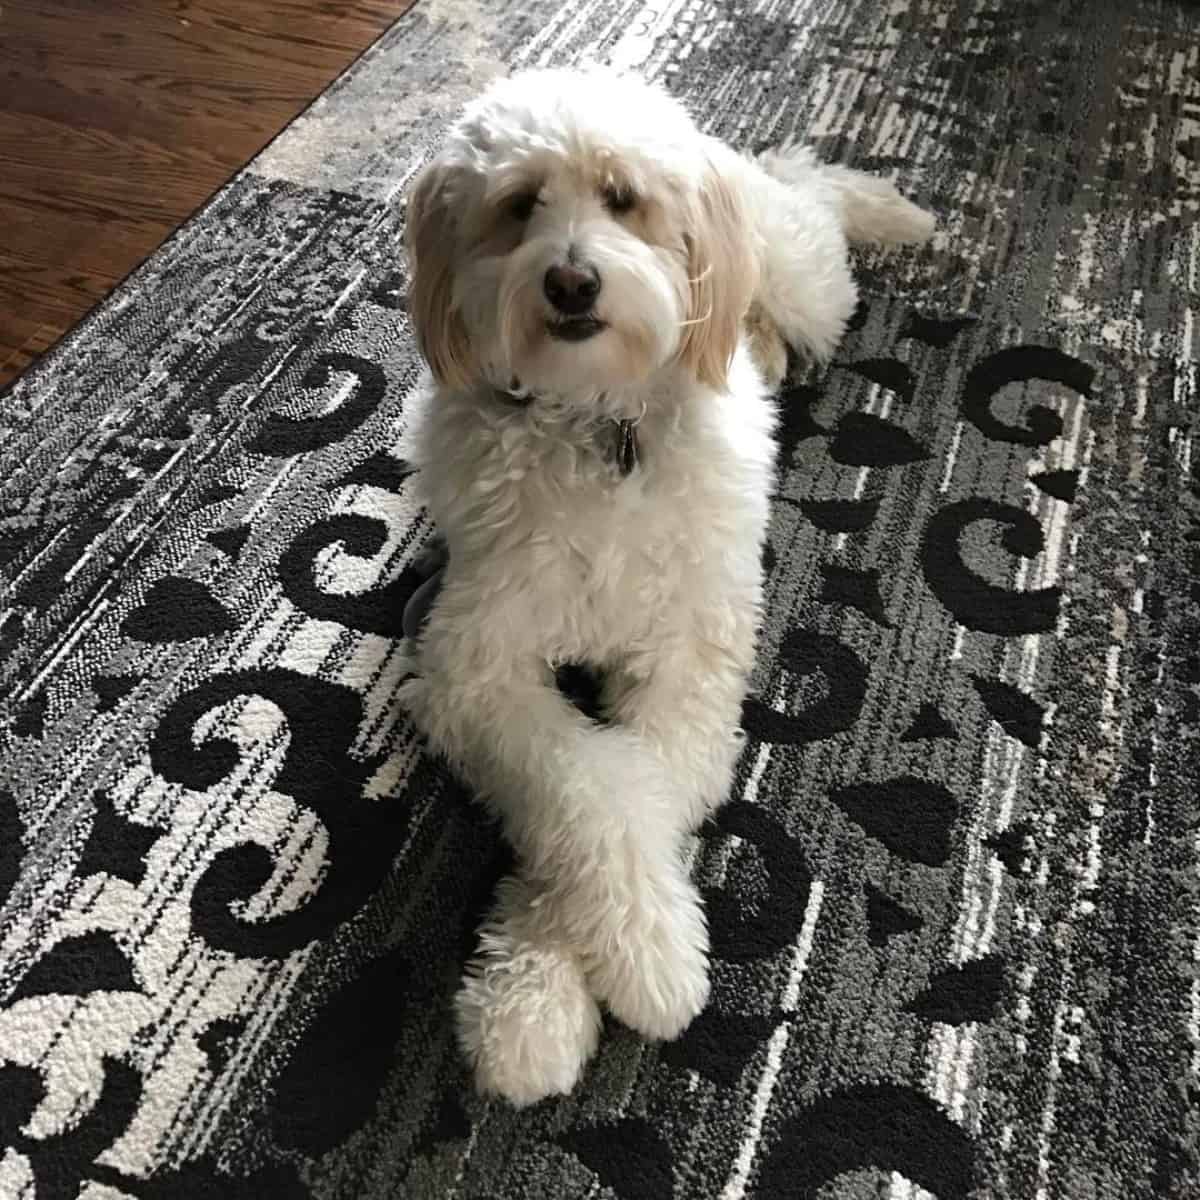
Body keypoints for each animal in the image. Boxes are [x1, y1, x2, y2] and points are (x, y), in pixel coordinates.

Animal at [398, 68, 931, 1104]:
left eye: (623, 199)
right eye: (518, 206)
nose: (571, 281)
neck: (600, 422)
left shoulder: (689, 663)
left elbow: (639, 782)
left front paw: (636, 961)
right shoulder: (475, 668)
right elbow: (588, 785)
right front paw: (536, 998)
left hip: (807, 276)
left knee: (812, 191)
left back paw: (883, 209)